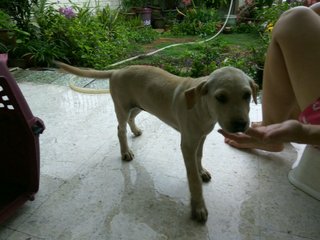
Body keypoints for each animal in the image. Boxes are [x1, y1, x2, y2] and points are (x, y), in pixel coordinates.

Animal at [56, 62, 258, 223]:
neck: (203, 107)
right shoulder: (188, 144)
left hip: (140, 104)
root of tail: (118, 70)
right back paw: (125, 152)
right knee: (120, 129)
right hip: (122, 107)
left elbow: (199, 156)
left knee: (132, 119)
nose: (240, 125)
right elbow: (193, 179)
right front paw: (198, 207)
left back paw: (135, 131)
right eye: (220, 97)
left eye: (247, 95)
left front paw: (201, 171)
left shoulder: (201, 137)